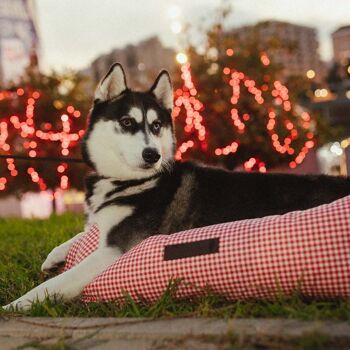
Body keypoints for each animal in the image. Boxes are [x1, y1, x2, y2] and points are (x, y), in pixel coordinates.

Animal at [4, 62, 350, 308]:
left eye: (157, 125)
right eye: (127, 122)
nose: (152, 154)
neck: (127, 181)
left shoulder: (115, 248)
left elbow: (55, 284)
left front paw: (15, 306)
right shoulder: (104, 227)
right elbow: (81, 233)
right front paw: (54, 256)